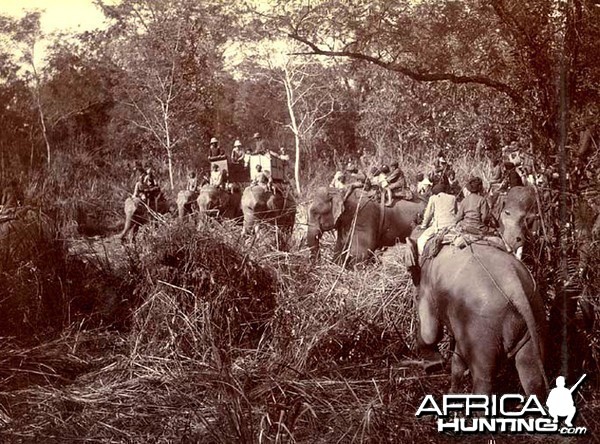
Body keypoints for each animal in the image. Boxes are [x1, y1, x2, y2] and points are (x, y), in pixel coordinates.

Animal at [418, 245, 548, 398]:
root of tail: (515, 289)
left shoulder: (426, 286)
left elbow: (430, 332)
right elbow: (458, 359)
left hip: (481, 331)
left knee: (483, 380)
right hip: (536, 315)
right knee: (532, 376)